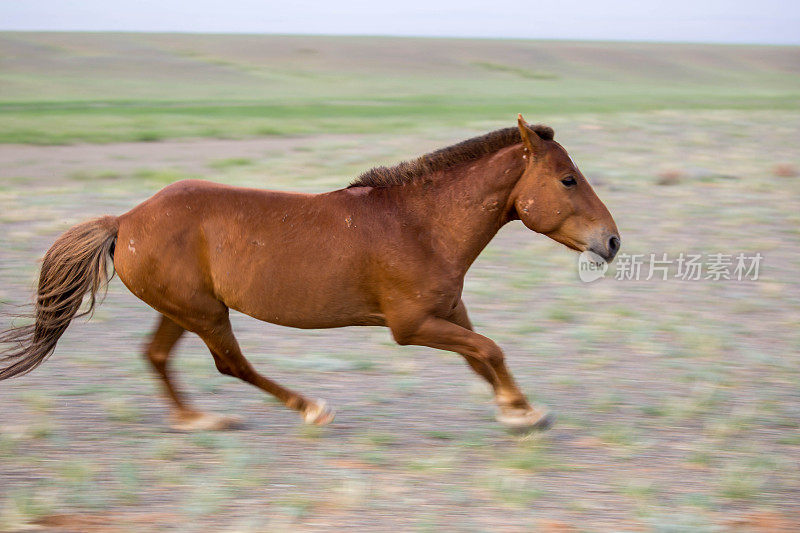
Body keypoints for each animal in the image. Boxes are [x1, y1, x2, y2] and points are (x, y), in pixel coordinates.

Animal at [0, 114, 620, 430]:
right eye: (567, 179)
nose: (612, 242)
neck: (419, 225)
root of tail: (125, 220)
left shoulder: (449, 313)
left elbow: (482, 356)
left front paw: (517, 407)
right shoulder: (411, 327)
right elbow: (489, 350)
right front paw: (523, 414)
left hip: (184, 308)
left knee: (157, 356)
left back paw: (196, 420)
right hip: (204, 311)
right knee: (230, 364)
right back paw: (310, 408)